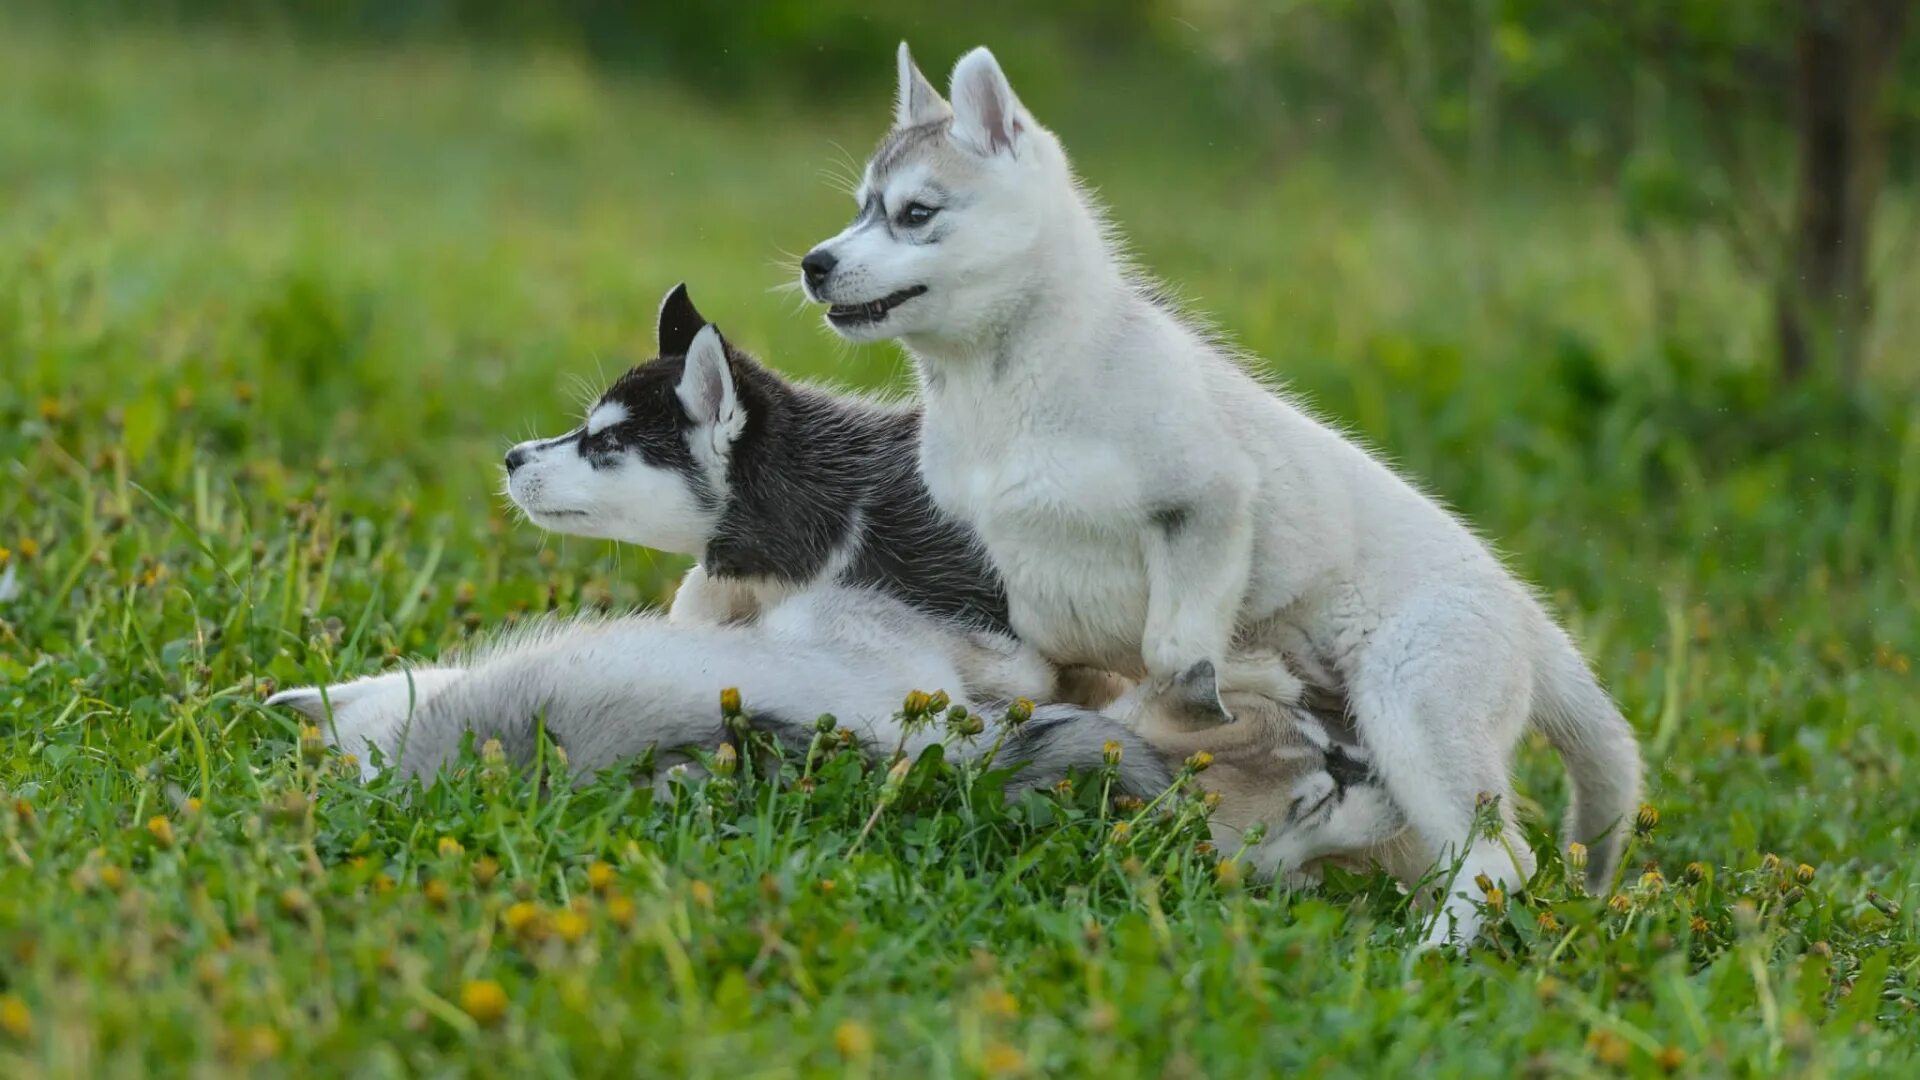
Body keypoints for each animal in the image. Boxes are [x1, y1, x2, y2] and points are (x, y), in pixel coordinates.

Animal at [794, 44, 1635, 933]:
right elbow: (1048, 646)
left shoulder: (1208, 502)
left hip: (1412, 711)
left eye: (915, 212)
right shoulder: (1012, 559)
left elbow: (1172, 648)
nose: (813, 265)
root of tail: (1525, 612)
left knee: (1498, 861)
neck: (1002, 387)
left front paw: (1206, 705)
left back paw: (1429, 948)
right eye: (860, 209)